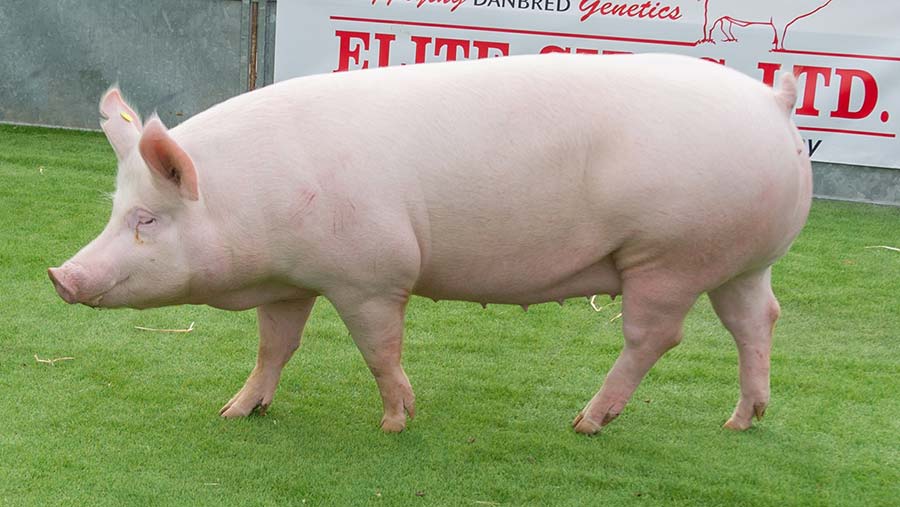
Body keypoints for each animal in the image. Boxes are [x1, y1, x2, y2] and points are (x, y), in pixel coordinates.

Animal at [48, 53, 811, 434]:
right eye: (115, 209)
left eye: (149, 219)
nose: (60, 275)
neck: (255, 198)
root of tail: (773, 104)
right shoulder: (293, 280)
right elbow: (275, 346)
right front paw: (236, 411)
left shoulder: (371, 274)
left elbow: (378, 349)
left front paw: (396, 422)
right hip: (740, 259)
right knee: (758, 320)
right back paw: (741, 422)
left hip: (670, 254)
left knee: (657, 335)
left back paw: (586, 423)